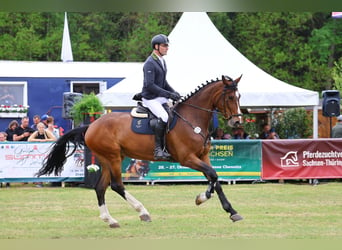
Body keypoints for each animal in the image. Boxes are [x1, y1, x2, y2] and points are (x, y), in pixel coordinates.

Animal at [36, 74, 243, 227]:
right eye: (230, 97)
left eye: (239, 97)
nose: (237, 122)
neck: (192, 119)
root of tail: (91, 125)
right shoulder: (187, 158)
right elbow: (213, 175)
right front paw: (202, 198)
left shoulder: (203, 156)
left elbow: (215, 178)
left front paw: (231, 211)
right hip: (113, 158)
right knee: (117, 185)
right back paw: (142, 212)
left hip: (108, 158)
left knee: (100, 187)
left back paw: (110, 220)